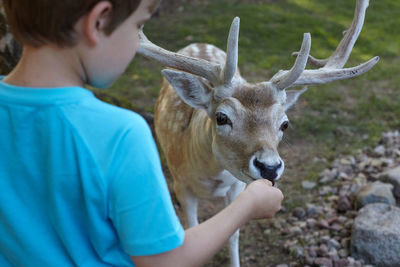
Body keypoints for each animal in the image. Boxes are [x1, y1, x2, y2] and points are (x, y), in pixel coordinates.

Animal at [138, 1, 378, 266]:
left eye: (285, 124)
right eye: (222, 117)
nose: (270, 167)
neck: (209, 175)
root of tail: (199, 42)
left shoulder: (236, 186)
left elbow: (232, 234)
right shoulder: (181, 183)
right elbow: (191, 231)